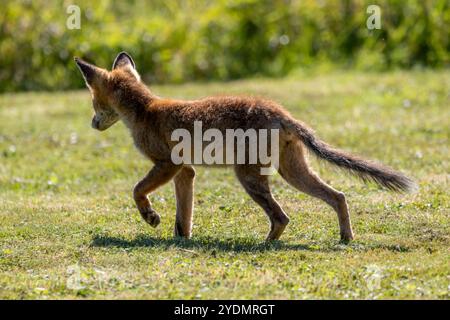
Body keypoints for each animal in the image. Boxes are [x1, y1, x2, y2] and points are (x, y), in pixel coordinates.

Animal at [74, 52, 418, 241]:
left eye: (93, 102)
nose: (91, 124)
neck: (145, 109)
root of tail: (282, 113)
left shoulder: (167, 164)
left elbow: (136, 191)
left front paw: (150, 217)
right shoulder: (186, 171)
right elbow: (183, 218)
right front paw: (181, 241)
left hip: (249, 177)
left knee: (282, 217)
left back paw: (264, 244)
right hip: (292, 173)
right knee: (338, 197)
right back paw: (345, 237)